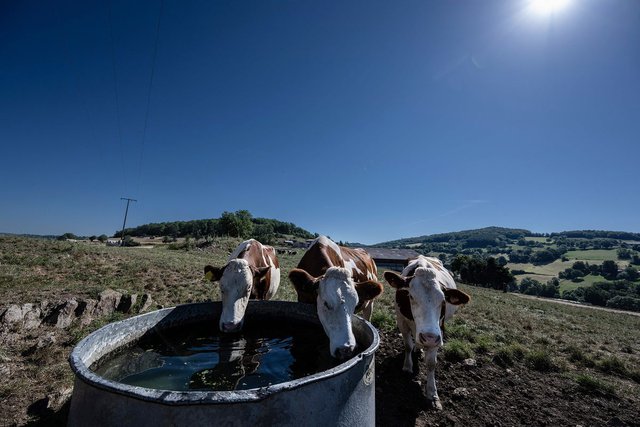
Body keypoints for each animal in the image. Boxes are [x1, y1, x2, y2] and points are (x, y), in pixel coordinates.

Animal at [384, 256, 470, 410]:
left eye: (443, 301)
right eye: (411, 296)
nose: (428, 338)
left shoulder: (438, 332)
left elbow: (431, 363)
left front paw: (432, 394)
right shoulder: (402, 322)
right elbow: (408, 346)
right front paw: (407, 367)